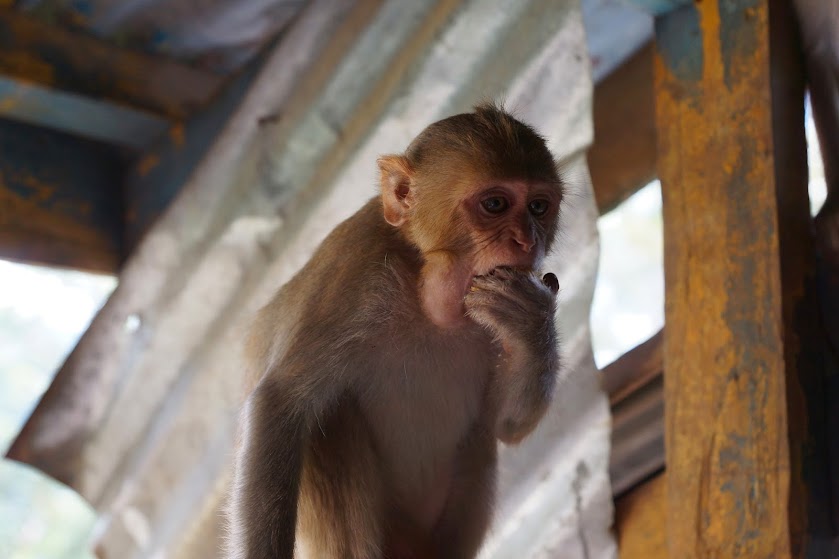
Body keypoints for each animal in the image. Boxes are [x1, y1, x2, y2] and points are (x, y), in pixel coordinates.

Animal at [228, 104, 564, 559]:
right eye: (495, 204)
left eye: (539, 207)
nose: (527, 241)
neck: (427, 297)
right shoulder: (357, 272)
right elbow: (280, 402)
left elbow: (505, 425)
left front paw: (531, 321)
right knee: (332, 421)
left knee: (479, 436)